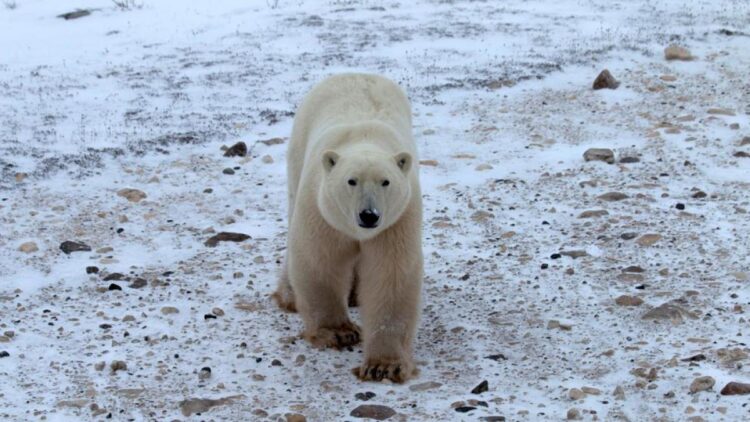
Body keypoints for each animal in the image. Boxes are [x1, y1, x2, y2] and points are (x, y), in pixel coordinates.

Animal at [272, 73, 423, 383]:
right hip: (298, 153)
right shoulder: (321, 210)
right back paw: (289, 296)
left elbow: (390, 275)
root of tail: (354, 73)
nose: (368, 215)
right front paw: (339, 333)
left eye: (385, 181)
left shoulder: (397, 221)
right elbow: (319, 261)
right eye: (351, 181)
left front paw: (383, 366)